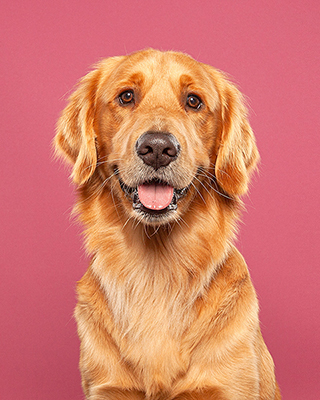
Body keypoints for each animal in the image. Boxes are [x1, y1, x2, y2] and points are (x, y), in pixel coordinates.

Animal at [54, 48, 280, 398]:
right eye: (126, 96)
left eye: (193, 101)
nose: (158, 148)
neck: (157, 272)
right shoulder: (108, 387)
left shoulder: (226, 385)